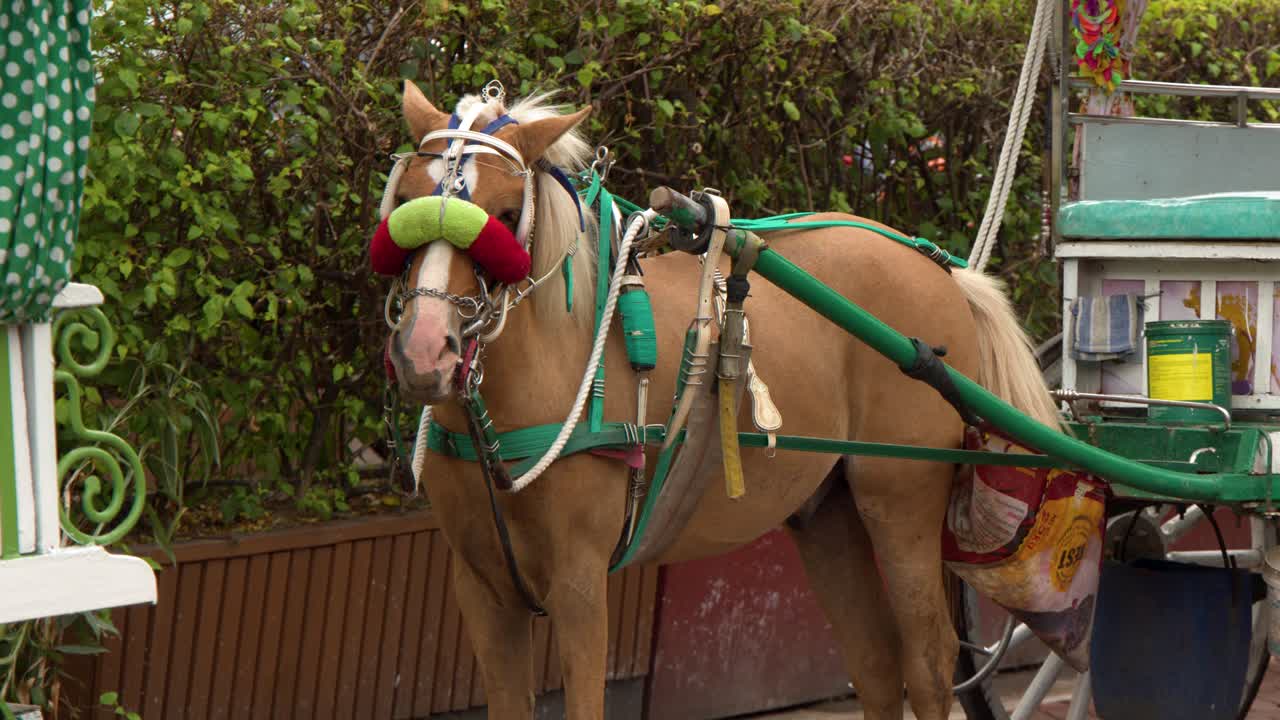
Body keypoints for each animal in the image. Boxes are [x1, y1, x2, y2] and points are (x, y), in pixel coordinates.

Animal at [381, 79, 1060, 720]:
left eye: (502, 212)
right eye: (405, 201)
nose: (425, 351)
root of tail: (940, 269)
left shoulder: (580, 581)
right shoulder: (482, 588)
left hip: (900, 500)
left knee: (928, 662)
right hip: (828, 512)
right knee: (874, 663)